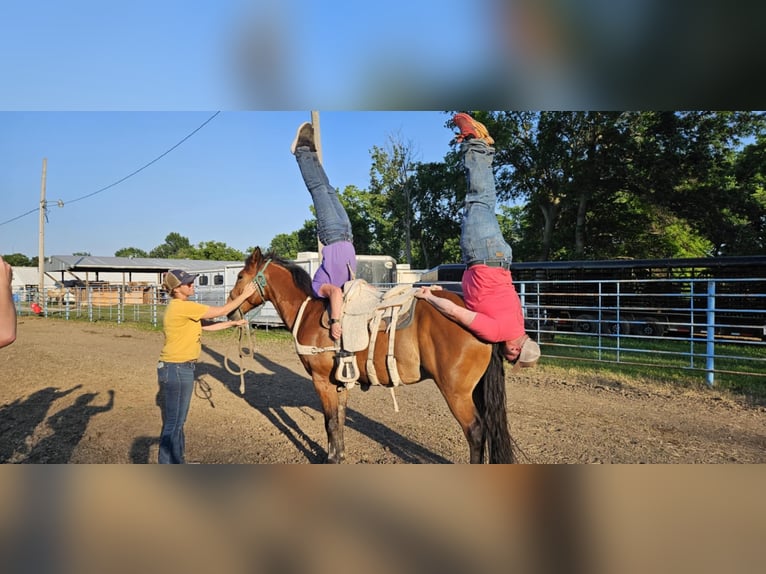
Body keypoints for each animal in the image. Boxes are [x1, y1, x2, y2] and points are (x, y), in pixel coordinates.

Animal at [228, 250, 516, 466]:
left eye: (241, 276)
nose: (230, 310)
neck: (308, 312)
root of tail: (478, 315)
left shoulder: (321, 381)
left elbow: (329, 422)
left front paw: (331, 459)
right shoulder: (340, 382)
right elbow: (339, 419)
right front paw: (339, 455)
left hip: (456, 393)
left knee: (475, 432)